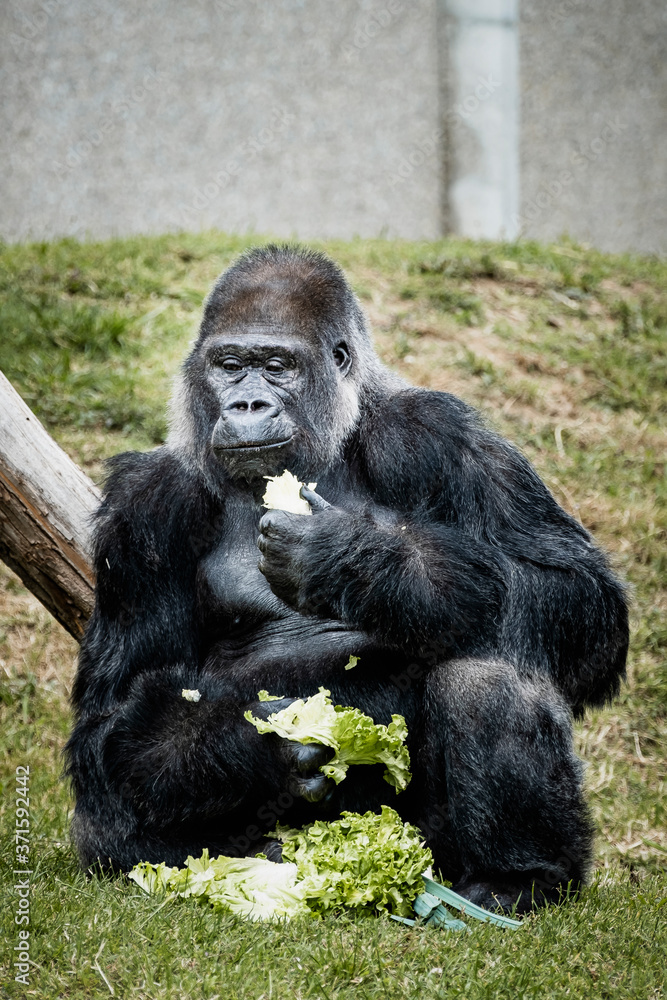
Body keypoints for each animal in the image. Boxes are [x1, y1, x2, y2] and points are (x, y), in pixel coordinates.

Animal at [65, 244, 628, 916]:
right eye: (229, 366)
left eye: (276, 367)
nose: (247, 405)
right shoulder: (144, 509)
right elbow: (111, 717)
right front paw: (257, 745)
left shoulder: (432, 431)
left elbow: (577, 591)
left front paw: (360, 562)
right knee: (105, 814)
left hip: (436, 853)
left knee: (488, 670)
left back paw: (521, 876)